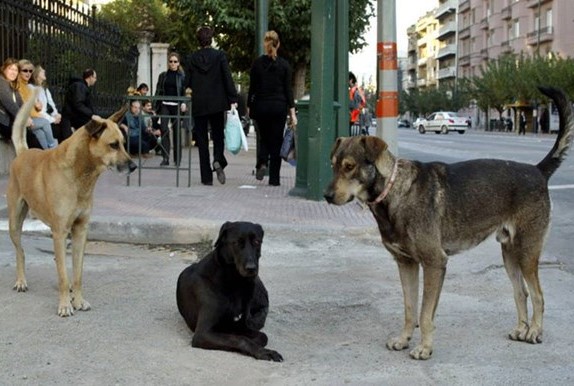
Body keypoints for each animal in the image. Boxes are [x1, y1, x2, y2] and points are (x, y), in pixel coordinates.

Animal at [7, 89, 137, 316]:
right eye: (113, 145)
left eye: (123, 143)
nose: (134, 166)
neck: (80, 175)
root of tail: (23, 152)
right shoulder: (59, 232)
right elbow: (63, 274)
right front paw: (65, 305)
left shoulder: (80, 230)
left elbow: (76, 274)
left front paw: (78, 300)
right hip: (15, 223)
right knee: (21, 252)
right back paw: (21, 281)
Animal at [176, 222, 284, 360]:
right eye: (237, 243)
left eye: (256, 241)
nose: (251, 268)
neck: (234, 281)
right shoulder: (202, 333)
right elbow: (240, 339)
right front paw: (262, 351)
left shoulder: (242, 323)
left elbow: (262, 336)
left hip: (255, 283)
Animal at [326, 86, 572, 358]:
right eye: (333, 165)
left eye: (350, 166)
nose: (326, 196)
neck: (394, 189)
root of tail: (538, 170)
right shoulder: (406, 264)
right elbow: (410, 309)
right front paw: (404, 339)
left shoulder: (434, 263)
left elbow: (425, 313)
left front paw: (424, 347)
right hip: (509, 254)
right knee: (521, 292)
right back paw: (521, 328)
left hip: (527, 253)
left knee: (538, 295)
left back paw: (535, 331)